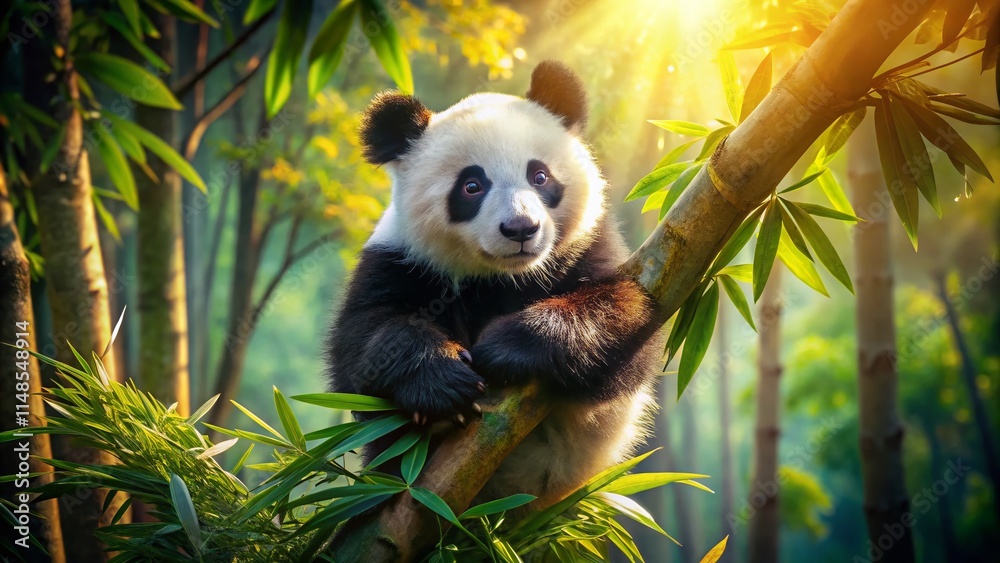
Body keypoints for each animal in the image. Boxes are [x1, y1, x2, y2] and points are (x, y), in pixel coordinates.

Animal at [326, 61, 664, 508]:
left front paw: (504, 348)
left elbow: (621, 317)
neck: (502, 275)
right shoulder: (399, 259)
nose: (521, 228)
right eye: (472, 186)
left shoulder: (588, 245)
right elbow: (363, 345)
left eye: (540, 176)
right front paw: (444, 379)